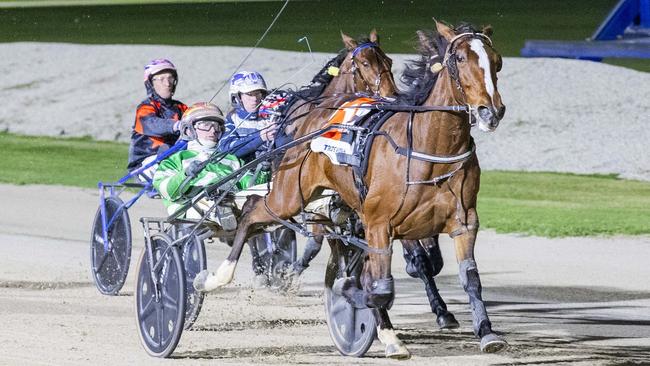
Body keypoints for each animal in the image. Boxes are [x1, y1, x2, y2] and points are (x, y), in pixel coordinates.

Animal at [205, 20, 504, 358]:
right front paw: (359, 301)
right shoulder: (378, 222)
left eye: (497, 61)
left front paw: (486, 332)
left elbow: (470, 278)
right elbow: (378, 286)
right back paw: (217, 277)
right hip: (289, 194)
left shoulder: (463, 222)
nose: (490, 111)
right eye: (460, 59)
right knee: (252, 212)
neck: (430, 147)